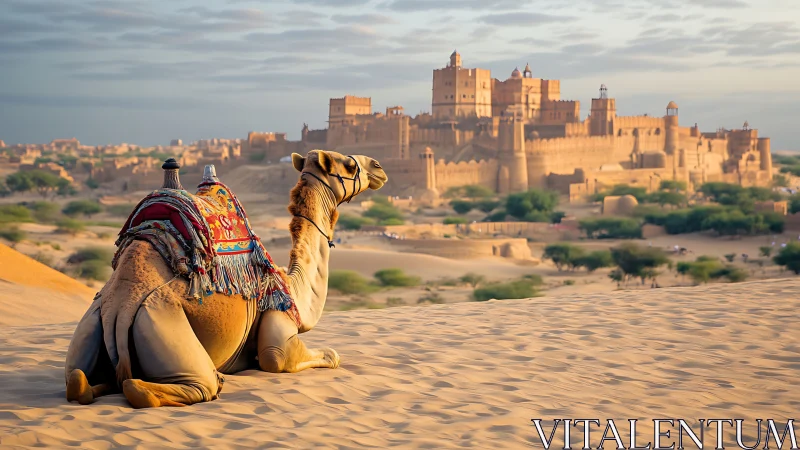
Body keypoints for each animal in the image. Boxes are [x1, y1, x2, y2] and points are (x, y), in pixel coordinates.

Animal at [64, 150, 387, 408]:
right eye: (348, 165)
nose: (378, 166)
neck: (291, 287)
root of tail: (121, 306)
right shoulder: (277, 329)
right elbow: (302, 355)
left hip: (92, 320)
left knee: (77, 380)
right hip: (160, 319)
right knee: (159, 386)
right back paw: (215, 382)